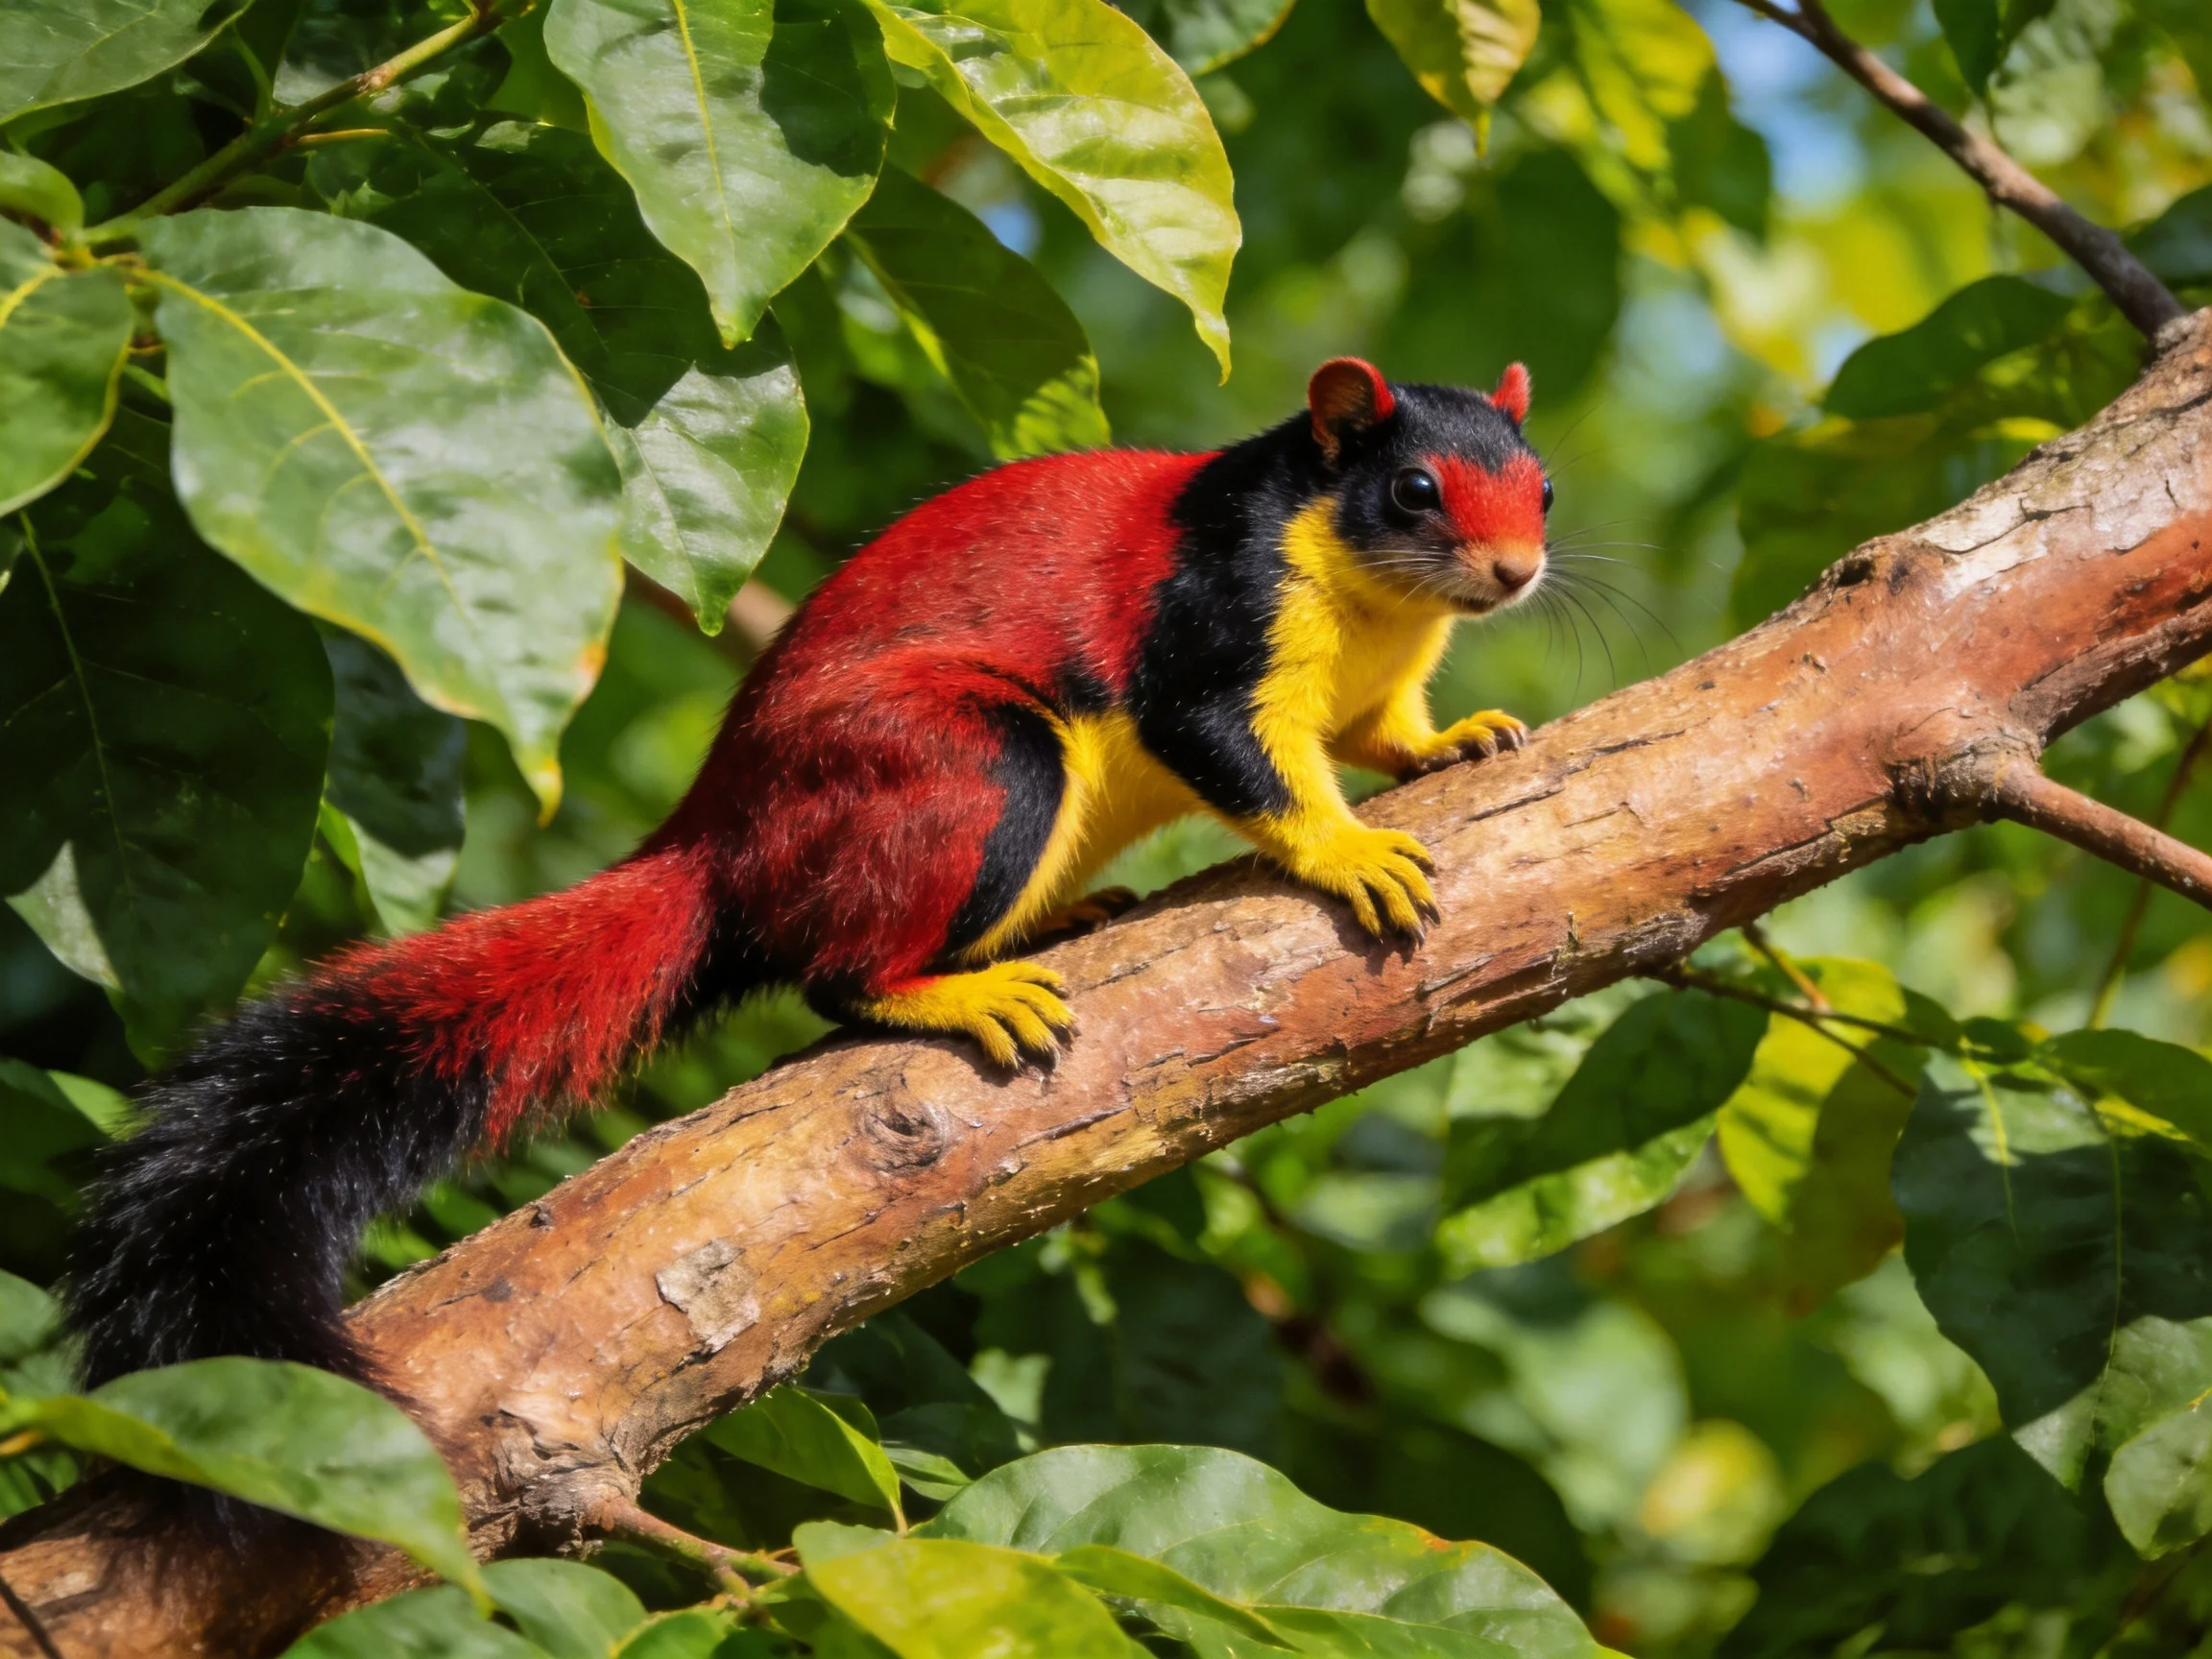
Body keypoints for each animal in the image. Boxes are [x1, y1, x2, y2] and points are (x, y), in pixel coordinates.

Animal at [67, 357, 1551, 1389]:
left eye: (1540, 487)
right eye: (1413, 490)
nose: (1518, 573)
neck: (1378, 607)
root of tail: (714, 847)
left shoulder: (1377, 681)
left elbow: (1381, 735)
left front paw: (1458, 739)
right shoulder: (1216, 631)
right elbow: (1249, 763)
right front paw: (1350, 848)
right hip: (975, 766)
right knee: (834, 975)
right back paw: (954, 992)